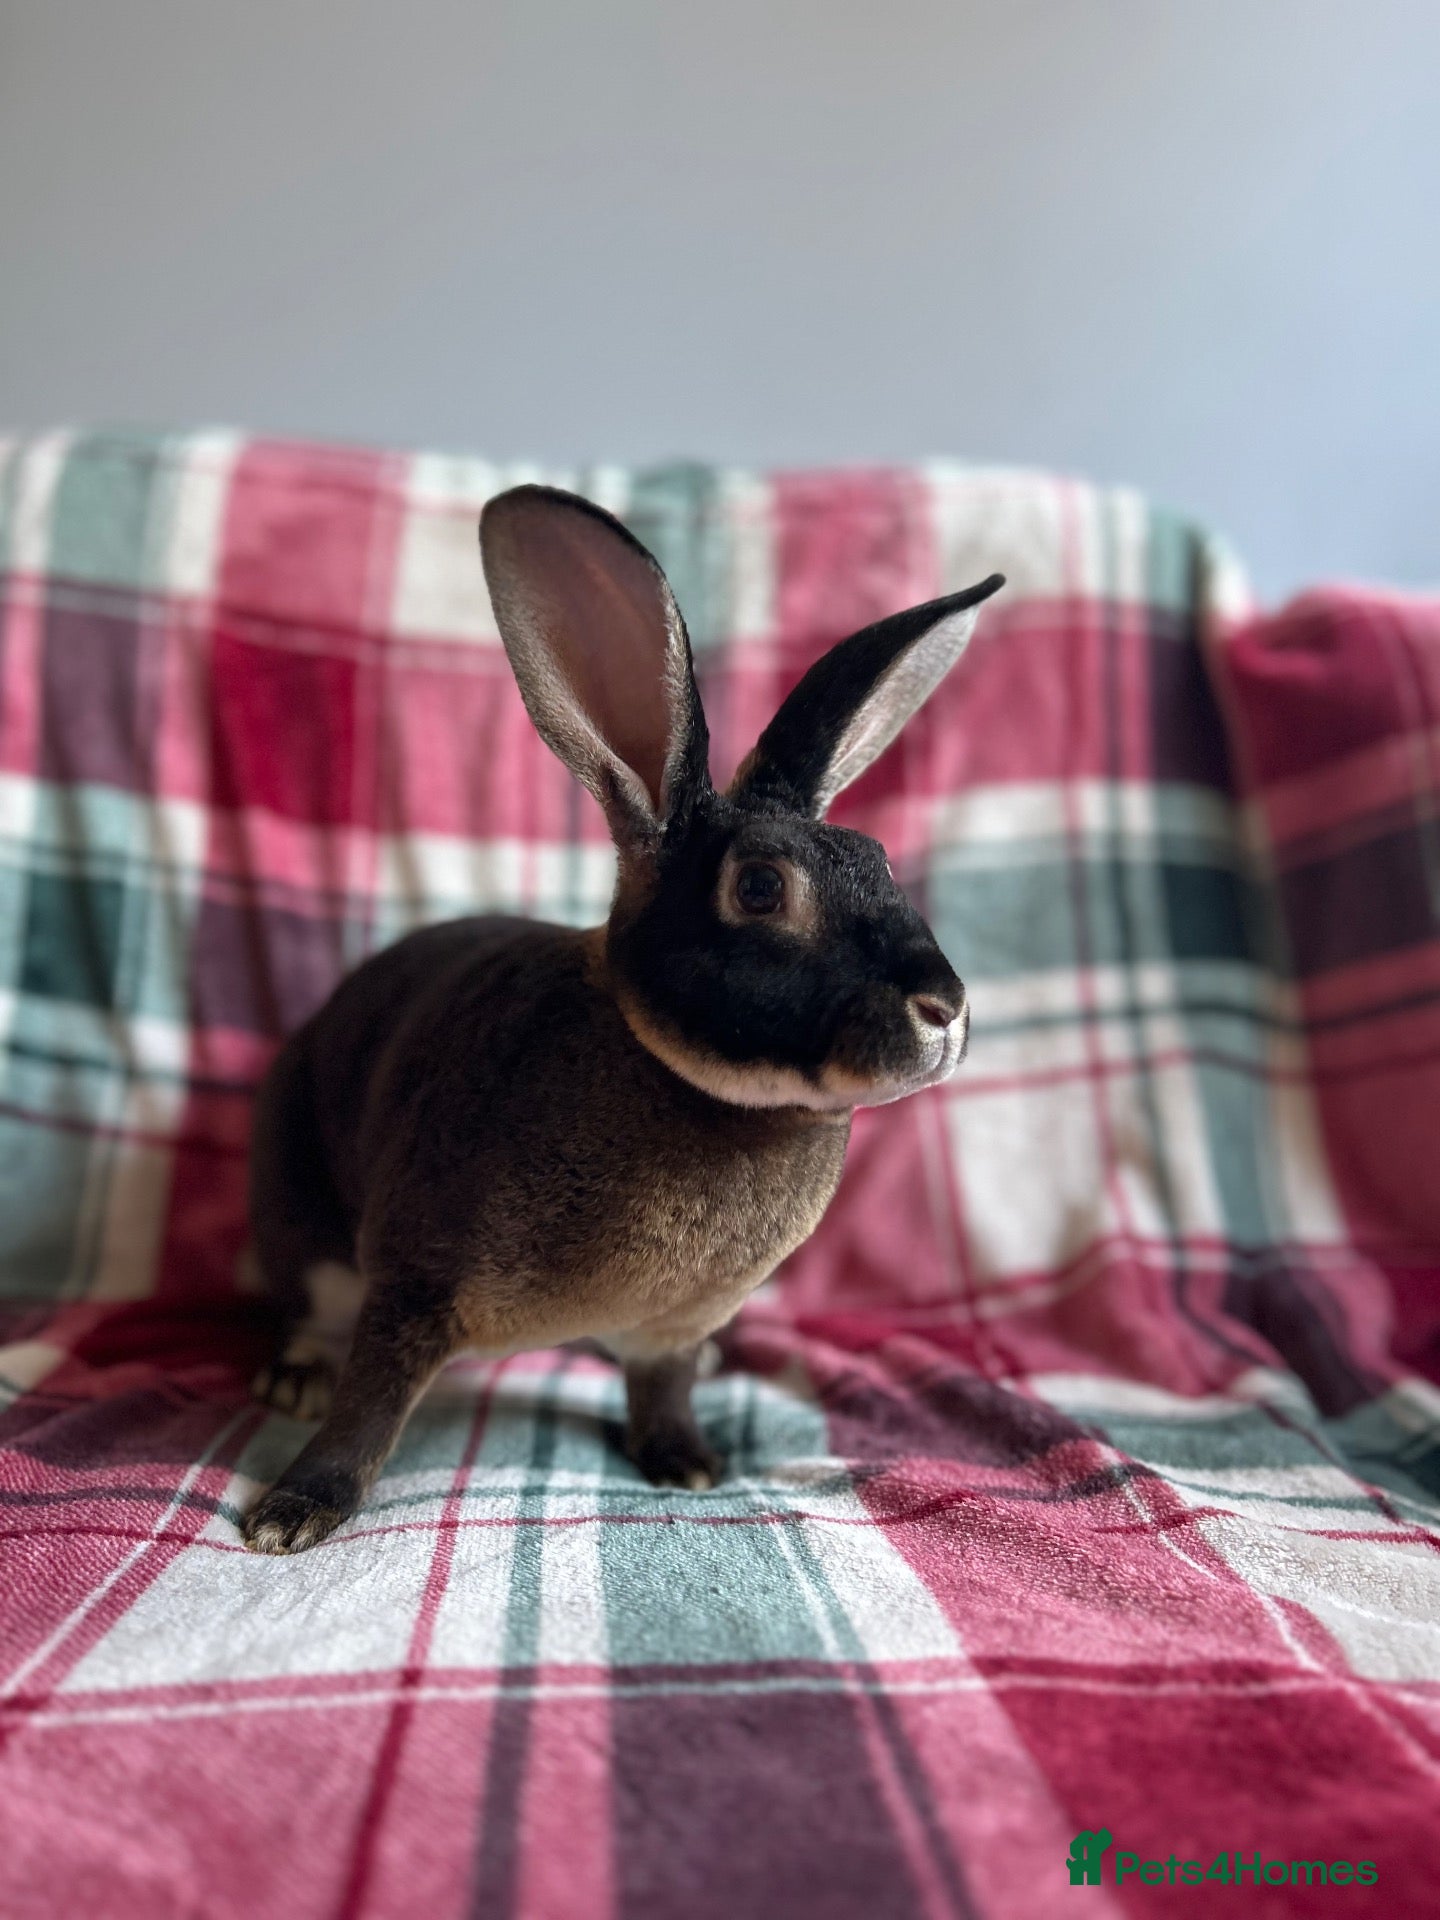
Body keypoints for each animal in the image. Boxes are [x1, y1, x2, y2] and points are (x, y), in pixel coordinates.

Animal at [241, 484, 1003, 1554]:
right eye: (761, 888)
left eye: (880, 858)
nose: (946, 1008)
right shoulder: (412, 1282)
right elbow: (370, 1408)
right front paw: (292, 1514)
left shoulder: (675, 1326)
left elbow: (665, 1385)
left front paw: (687, 1463)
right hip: (300, 1218)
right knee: (309, 1310)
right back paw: (297, 1378)